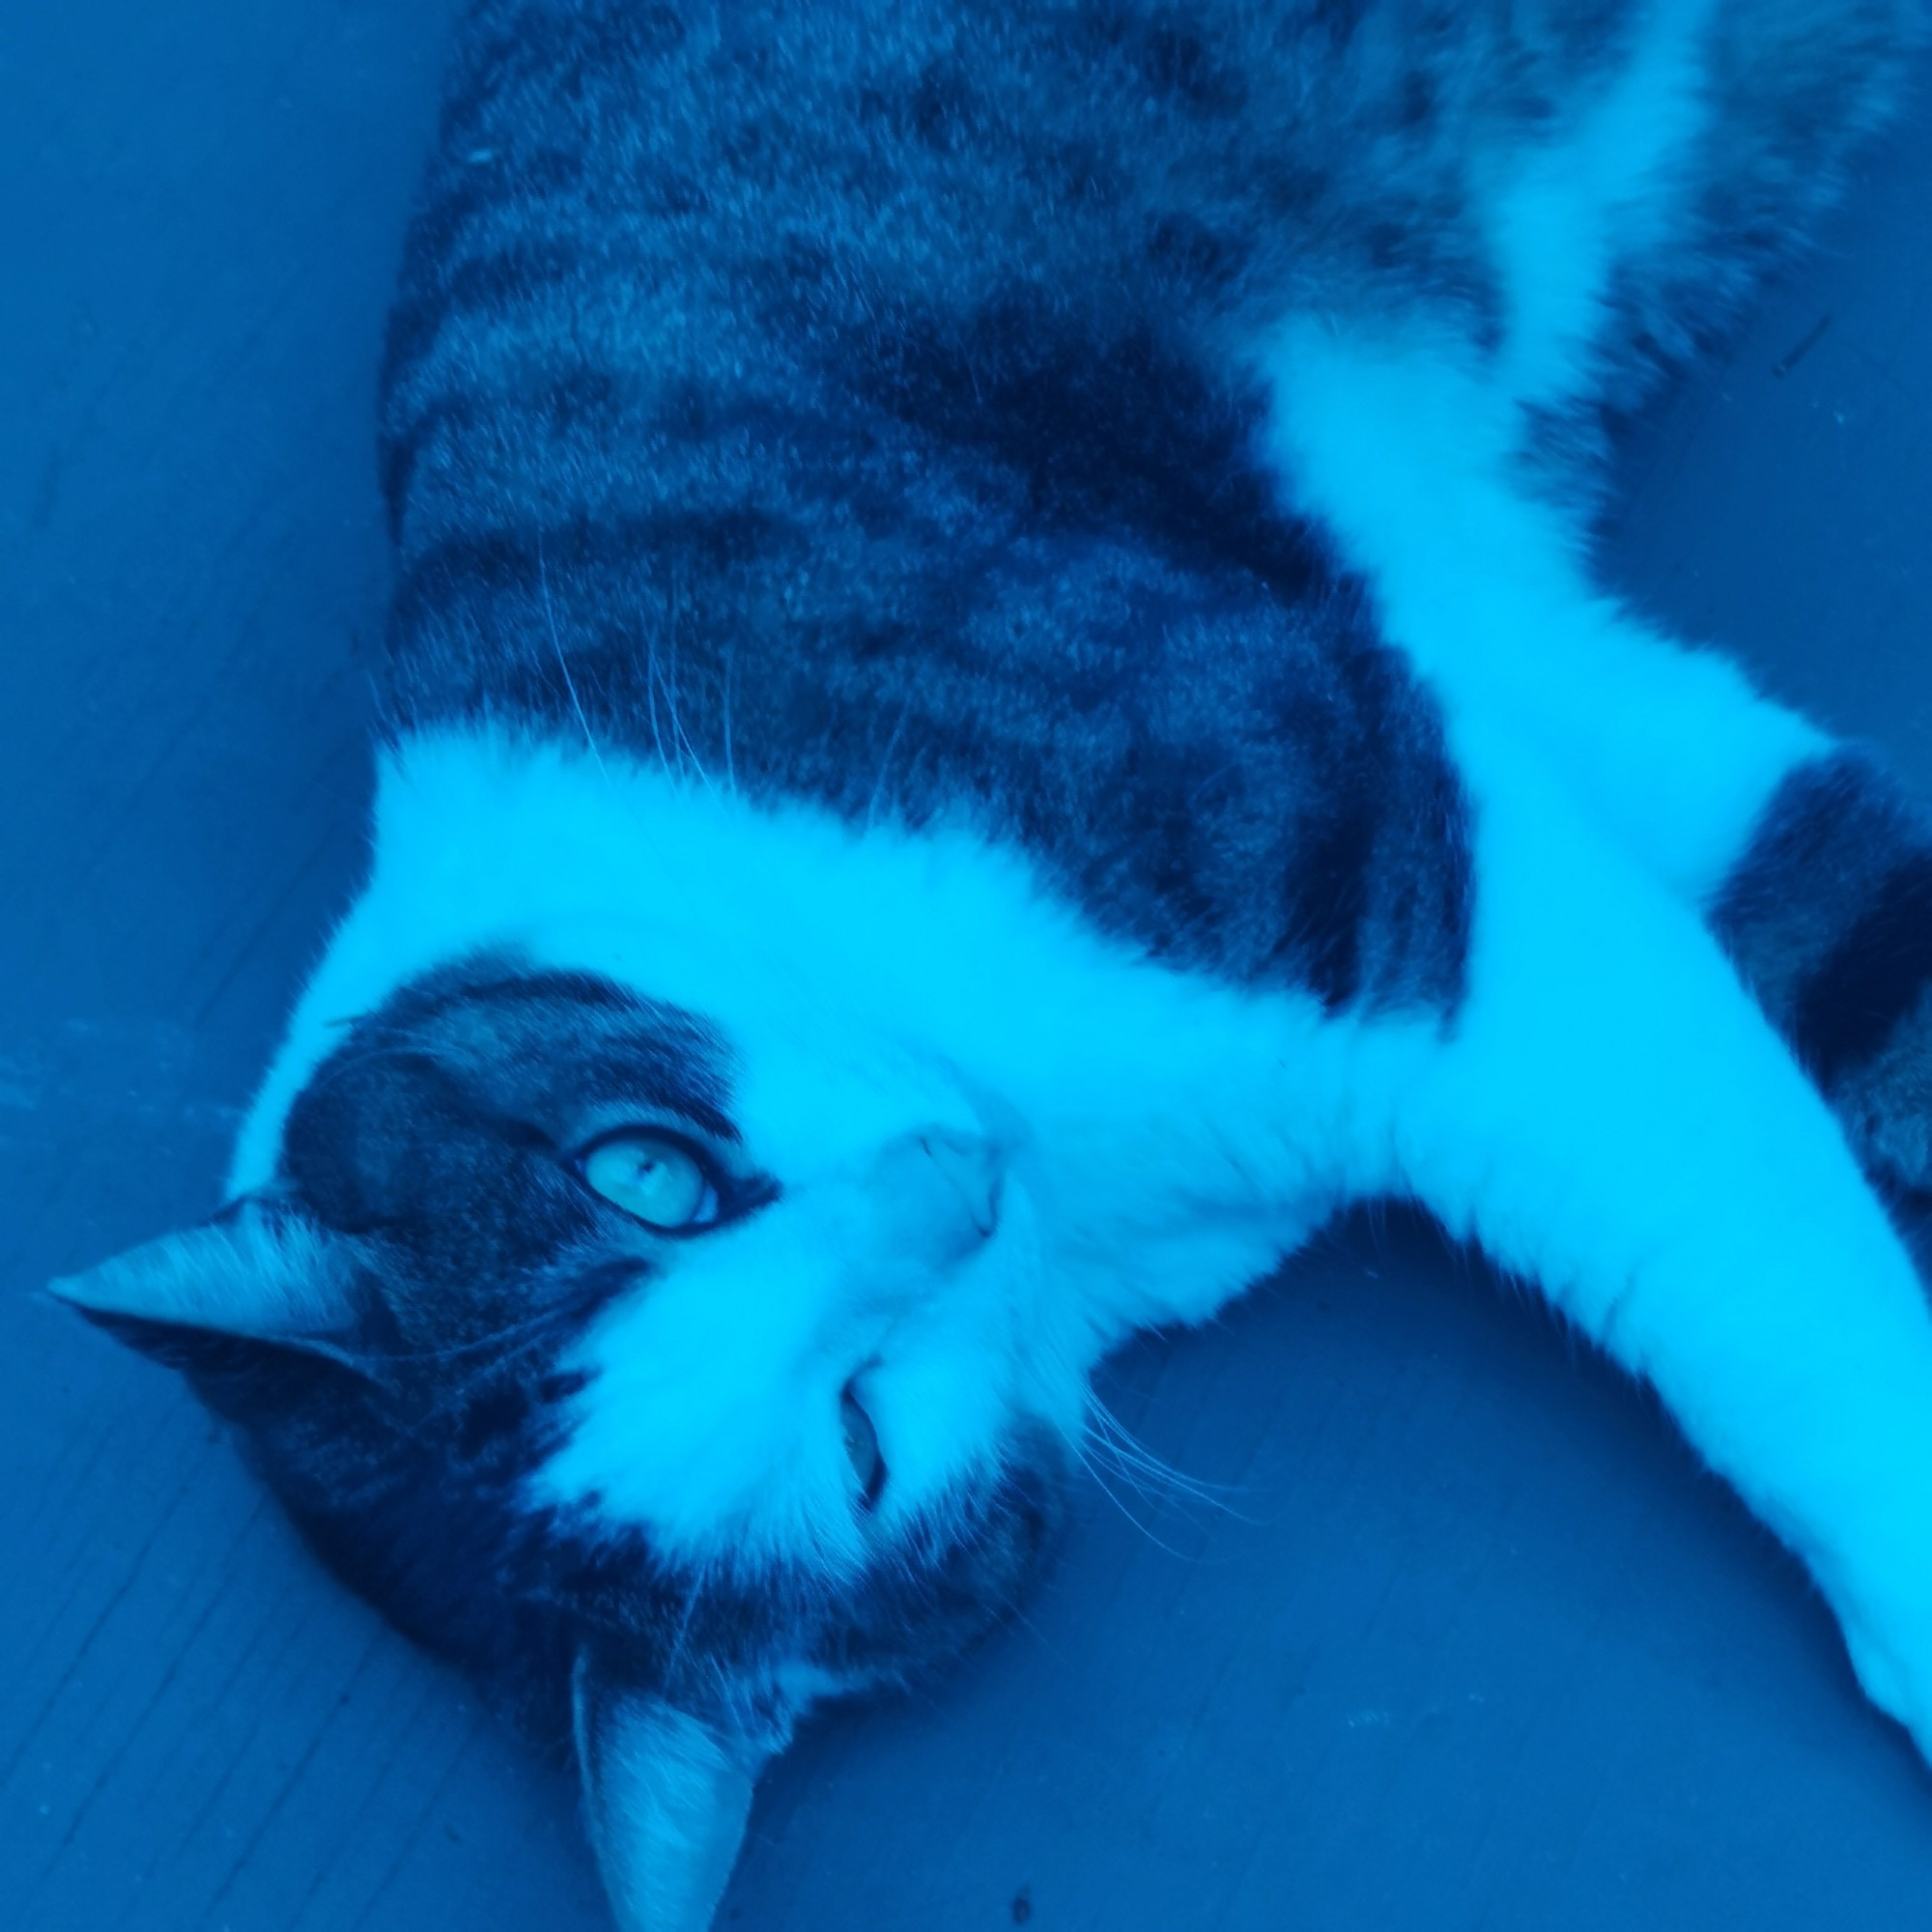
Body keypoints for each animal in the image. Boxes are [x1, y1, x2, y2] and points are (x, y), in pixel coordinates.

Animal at [52, 3, 1932, 1932]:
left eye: (645, 1174)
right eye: (862, 1444)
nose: (947, 1193)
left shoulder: (1335, 797)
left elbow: (1761, 1282)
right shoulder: (1483, 705)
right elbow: (1813, 925)